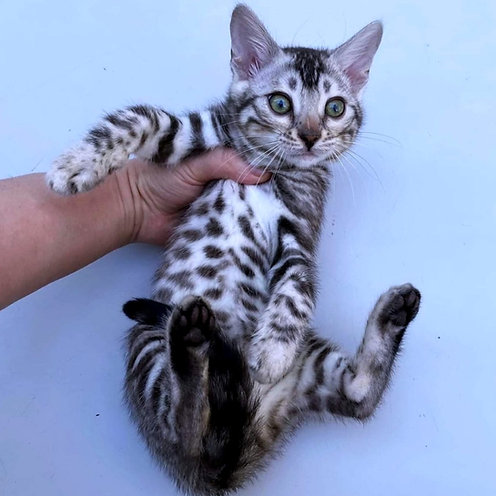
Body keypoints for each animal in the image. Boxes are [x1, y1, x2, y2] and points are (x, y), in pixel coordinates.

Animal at [47, 4, 420, 495]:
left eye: (335, 108)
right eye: (280, 103)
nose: (310, 136)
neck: (274, 167)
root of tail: (247, 428)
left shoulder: (299, 232)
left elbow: (299, 287)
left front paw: (273, 351)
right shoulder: (193, 135)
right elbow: (139, 118)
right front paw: (76, 164)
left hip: (309, 362)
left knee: (357, 396)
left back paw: (393, 311)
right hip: (148, 345)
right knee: (187, 426)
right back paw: (192, 343)